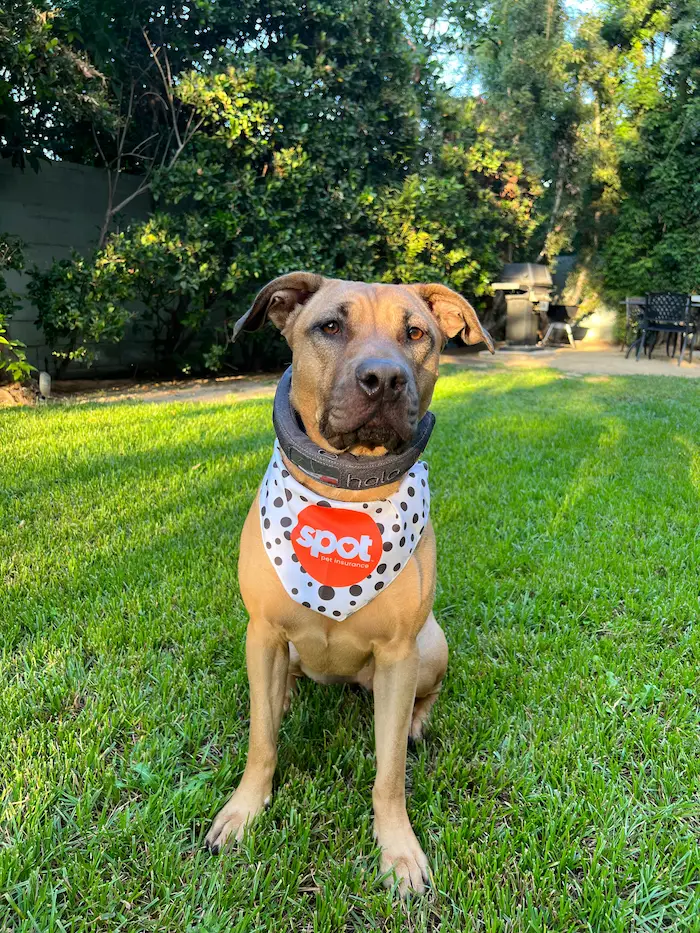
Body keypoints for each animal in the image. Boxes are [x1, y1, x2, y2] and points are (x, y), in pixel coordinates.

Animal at [205, 274, 494, 892]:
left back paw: (417, 722)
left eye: (417, 334)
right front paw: (243, 812)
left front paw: (399, 850)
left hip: (431, 644)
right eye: (331, 326)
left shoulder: (399, 653)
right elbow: (261, 742)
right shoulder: (263, 632)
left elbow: (389, 774)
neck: (345, 500)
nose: (384, 378)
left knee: (426, 696)